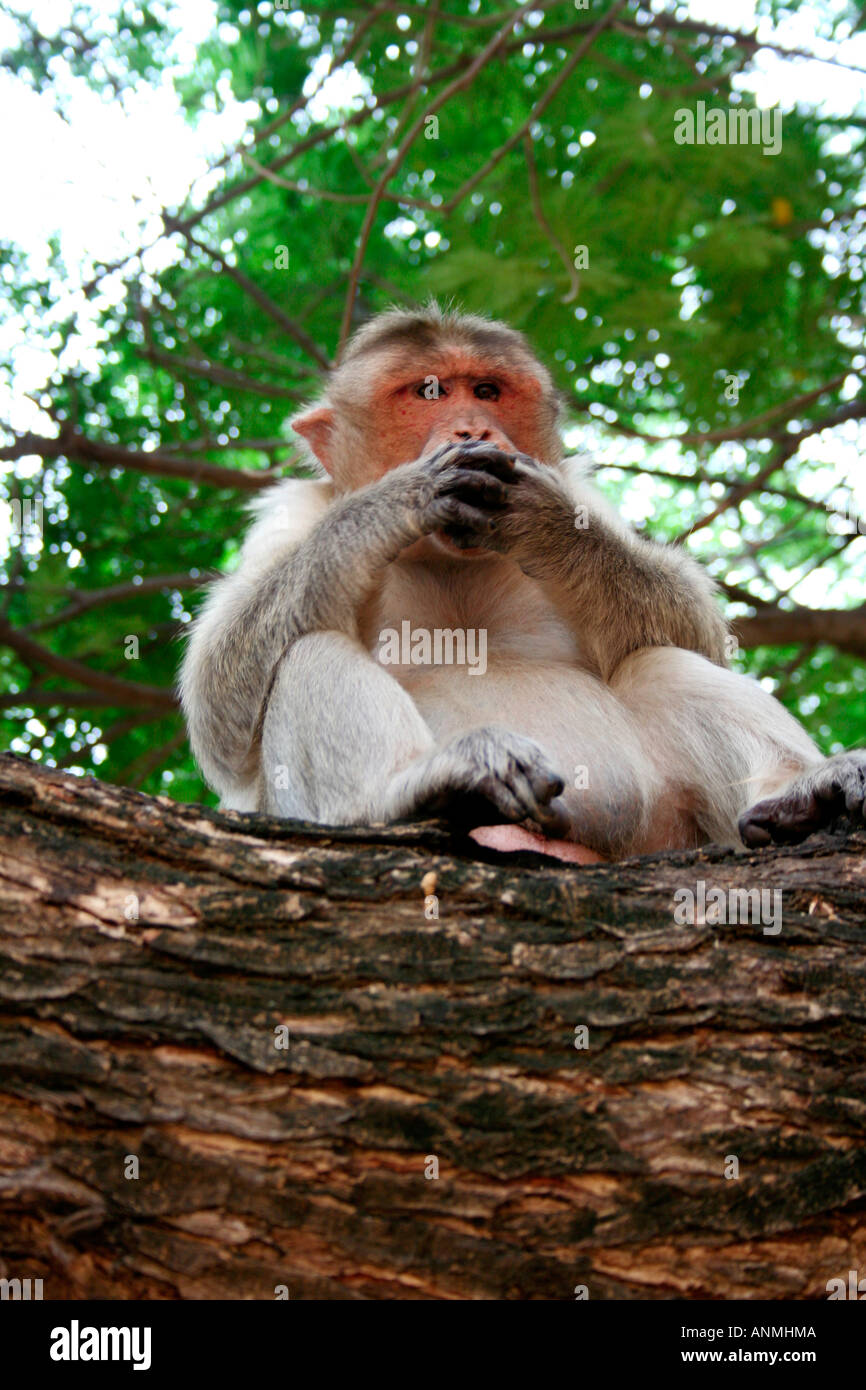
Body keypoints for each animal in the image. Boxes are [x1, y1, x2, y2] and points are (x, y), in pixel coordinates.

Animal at [177, 301, 866, 856]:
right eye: (428, 392)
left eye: (487, 389)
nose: (473, 428)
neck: (449, 560)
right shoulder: (293, 512)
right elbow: (217, 701)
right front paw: (404, 496)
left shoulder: (582, 489)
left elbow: (696, 630)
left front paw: (545, 522)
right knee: (306, 650)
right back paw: (416, 790)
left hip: (658, 837)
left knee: (658, 663)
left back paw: (806, 795)